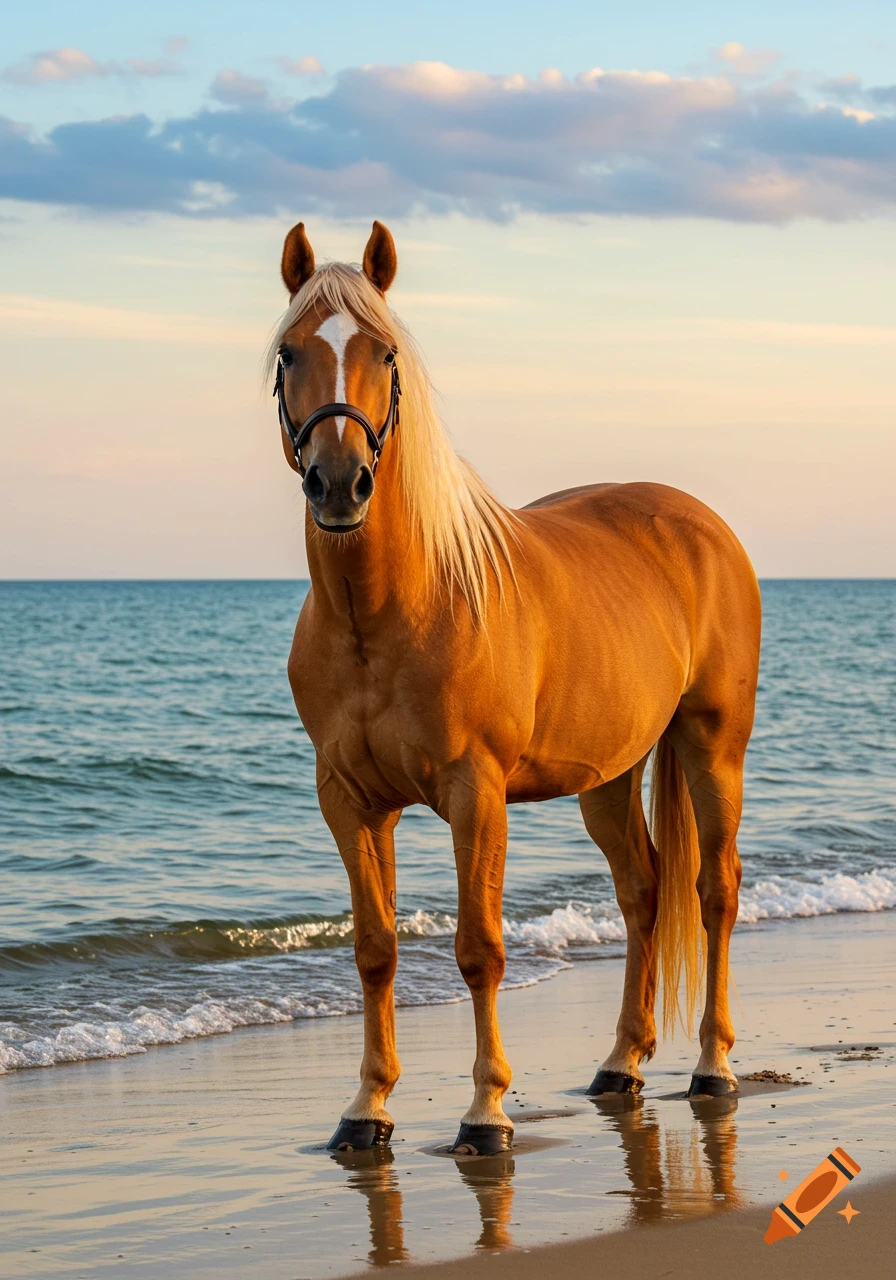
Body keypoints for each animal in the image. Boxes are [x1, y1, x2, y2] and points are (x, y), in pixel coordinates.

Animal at [266, 219, 761, 1156]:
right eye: (288, 352)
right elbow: (375, 949)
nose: (339, 484)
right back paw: (621, 1063)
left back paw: (713, 1064)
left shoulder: (476, 793)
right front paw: (367, 1107)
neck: (389, 610)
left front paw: (486, 1111)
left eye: (385, 352)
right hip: (609, 776)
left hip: (712, 744)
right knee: (643, 893)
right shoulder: (347, 800)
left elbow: (479, 949)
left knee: (714, 893)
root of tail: (703, 526)